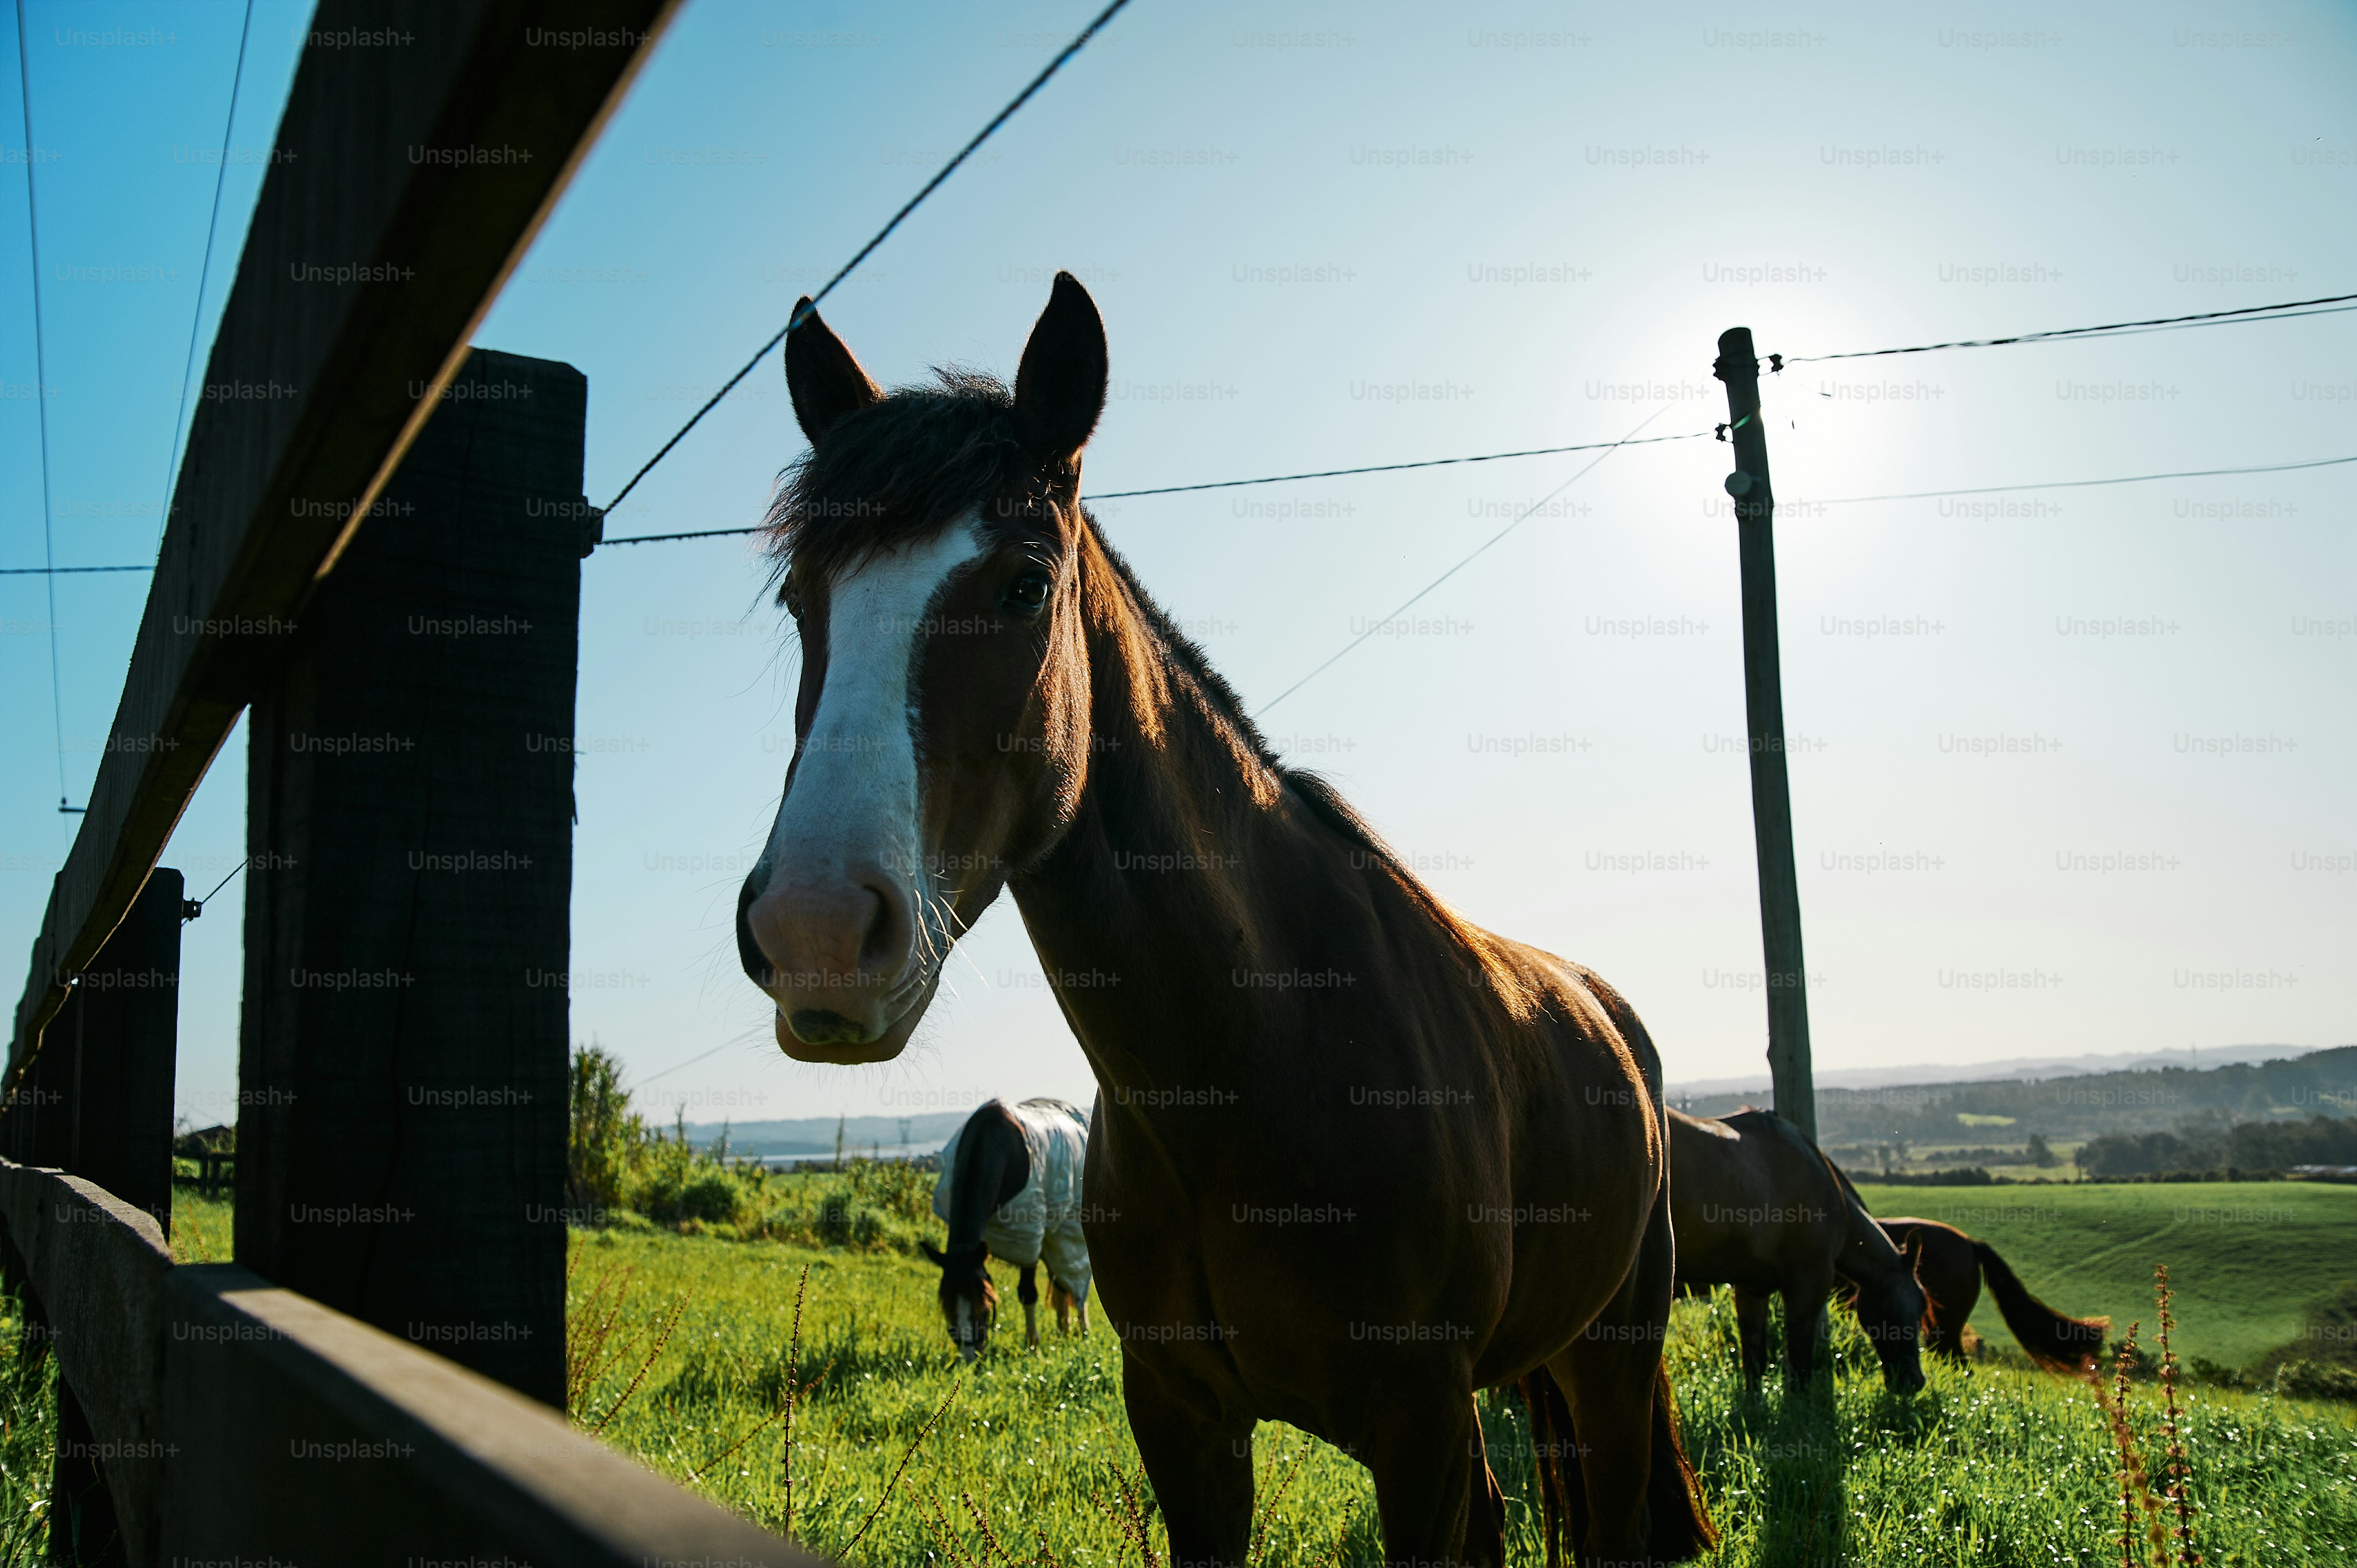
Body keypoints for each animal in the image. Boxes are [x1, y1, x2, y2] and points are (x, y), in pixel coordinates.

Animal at [923, 1096, 1094, 1362]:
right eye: (948, 1309)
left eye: (984, 1308)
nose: (970, 1359)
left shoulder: (1028, 1237)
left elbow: (1027, 1292)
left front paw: (1033, 1345)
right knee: (1060, 1281)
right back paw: (1063, 1330)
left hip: (1071, 1230)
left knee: (1076, 1281)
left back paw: (1083, 1331)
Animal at [1668, 1108, 1926, 1395]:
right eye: (1922, 1304)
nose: (1915, 1382)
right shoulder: (1808, 1286)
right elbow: (1800, 1367)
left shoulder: (1752, 1289)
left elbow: (1754, 1361)